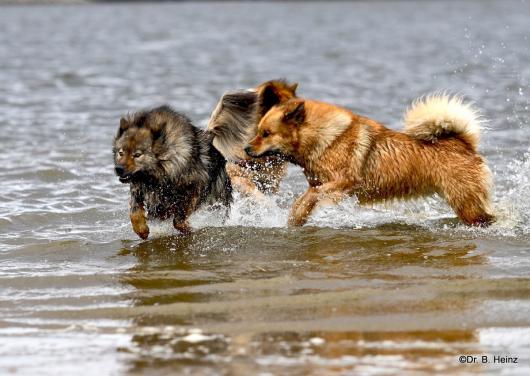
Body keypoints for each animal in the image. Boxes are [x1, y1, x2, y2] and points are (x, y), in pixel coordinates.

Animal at [112, 105, 230, 238]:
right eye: (121, 153)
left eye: (137, 155)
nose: (118, 169)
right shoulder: (138, 189)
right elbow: (134, 213)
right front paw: (142, 230)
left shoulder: (194, 186)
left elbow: (179, 218)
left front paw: (187, 228)